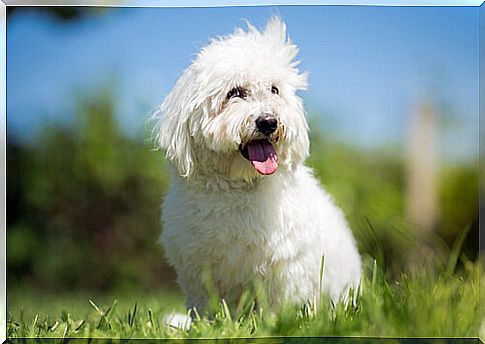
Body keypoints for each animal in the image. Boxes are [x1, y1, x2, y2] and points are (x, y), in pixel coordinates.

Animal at [155, 17, 360, 314]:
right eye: (234, 93)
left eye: (274, 90)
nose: (268, 122)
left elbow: (276, 305)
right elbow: (206, 306)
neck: (240, 187)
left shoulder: (283, 267)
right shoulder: (198, 270)